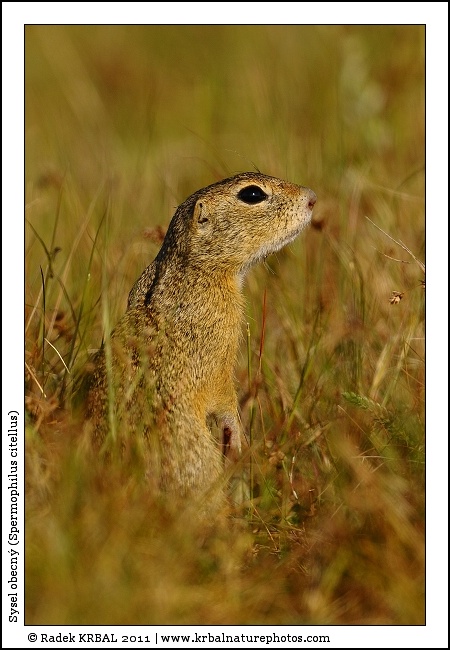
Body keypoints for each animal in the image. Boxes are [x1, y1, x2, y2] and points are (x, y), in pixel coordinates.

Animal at [85, 172, 316, 505]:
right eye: (252, 195)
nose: (312, 197)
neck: (194, 274)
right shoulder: (218, 347)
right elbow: (223, 395)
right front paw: (238, 440)